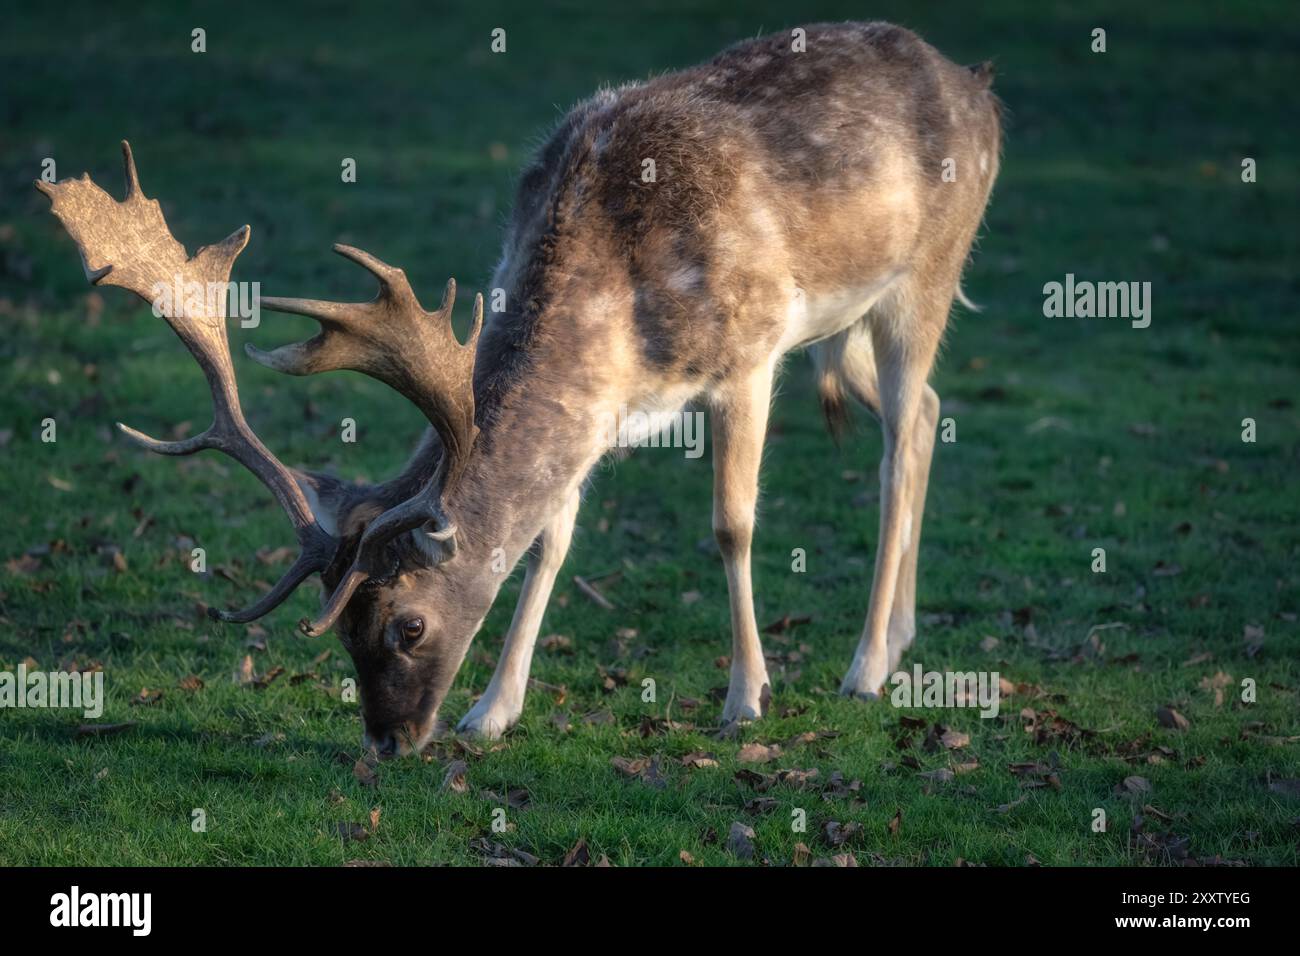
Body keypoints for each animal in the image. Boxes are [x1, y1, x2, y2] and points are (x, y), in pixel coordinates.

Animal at [38, 20, 993, 754]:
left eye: (407, 624)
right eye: (341, 629)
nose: (389, 741)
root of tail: (977, 86)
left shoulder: (750, 356)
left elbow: (733, 526)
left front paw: (745, 700)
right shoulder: (596, 417)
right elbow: (546, 542)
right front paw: (492, 711)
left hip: (928, 274)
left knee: (902, 437)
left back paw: (864, 667)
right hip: (850, 326)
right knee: (927, 415)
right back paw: (897, 641)